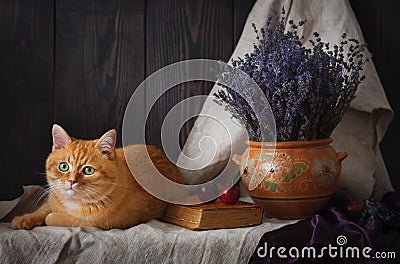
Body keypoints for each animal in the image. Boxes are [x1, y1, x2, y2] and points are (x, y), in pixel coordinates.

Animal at [10, 124, 183, 229]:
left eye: (88, 171)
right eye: (63, 167)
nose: (71, 181)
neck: (73, 202)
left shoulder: (105, 222)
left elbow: (57, 218)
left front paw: (52, 217)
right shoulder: (53, 197)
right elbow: (43, 209)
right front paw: (26, 219)